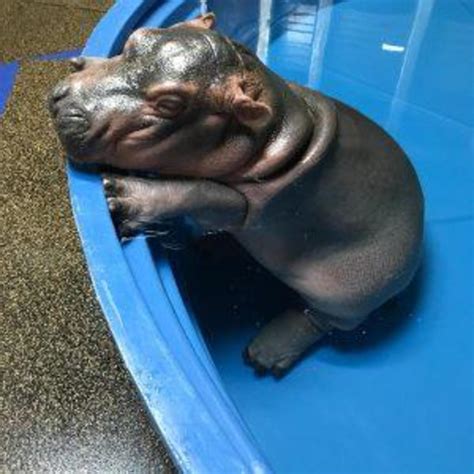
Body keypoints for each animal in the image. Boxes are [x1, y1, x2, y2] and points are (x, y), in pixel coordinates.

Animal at [50, 12, 424, 376]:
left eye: (170, 105)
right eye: (136, 38)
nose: (62, 103)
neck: (275, 120)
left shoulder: (243, 207)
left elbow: (197, 192)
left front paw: (122, 194)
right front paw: (83, 62)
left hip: (349, 294)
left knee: (322, 320)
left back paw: (265, 354)